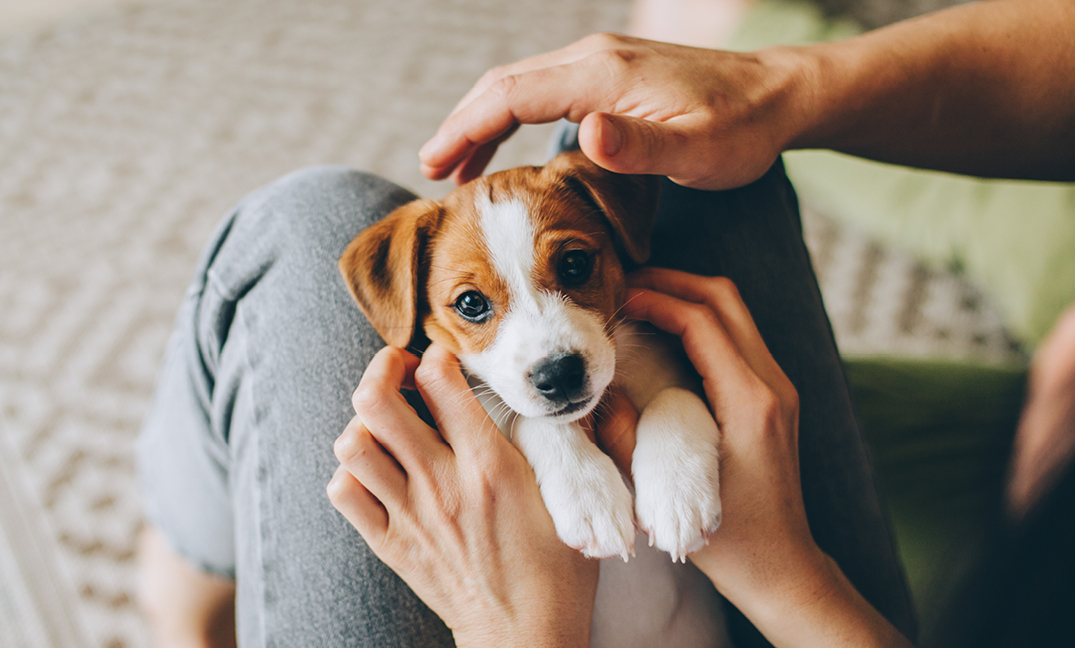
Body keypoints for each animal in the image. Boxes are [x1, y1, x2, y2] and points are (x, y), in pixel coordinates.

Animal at [339, 150, 731, 648]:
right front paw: (587, 494)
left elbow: (676, 395)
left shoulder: (677, 370)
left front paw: (677, 493)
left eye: (575, 264)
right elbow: (532, 420)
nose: (558, 375)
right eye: (470, 303)